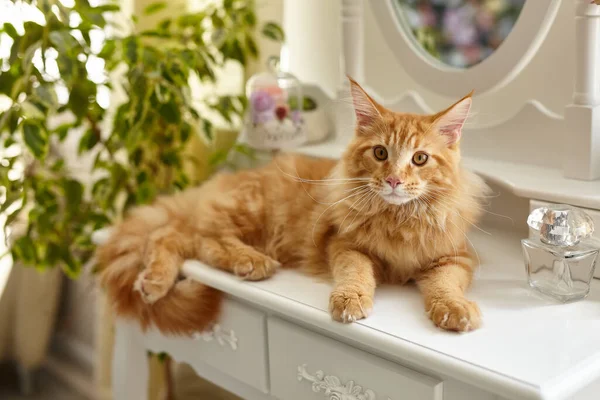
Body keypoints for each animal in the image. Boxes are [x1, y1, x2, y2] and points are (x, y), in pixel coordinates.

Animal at [95, 78, 488, 334]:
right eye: (380, 153)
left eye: (420, 159)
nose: (393, 180)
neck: (399, 219)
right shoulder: (344, 244)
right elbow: (356, 273)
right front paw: (350, 299)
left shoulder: (455, 257)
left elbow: (445, 285)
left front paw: (453, 309)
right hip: (250, 212)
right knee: (197, 237)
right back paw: (241, 264)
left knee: (175, 236)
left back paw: (156, 279)